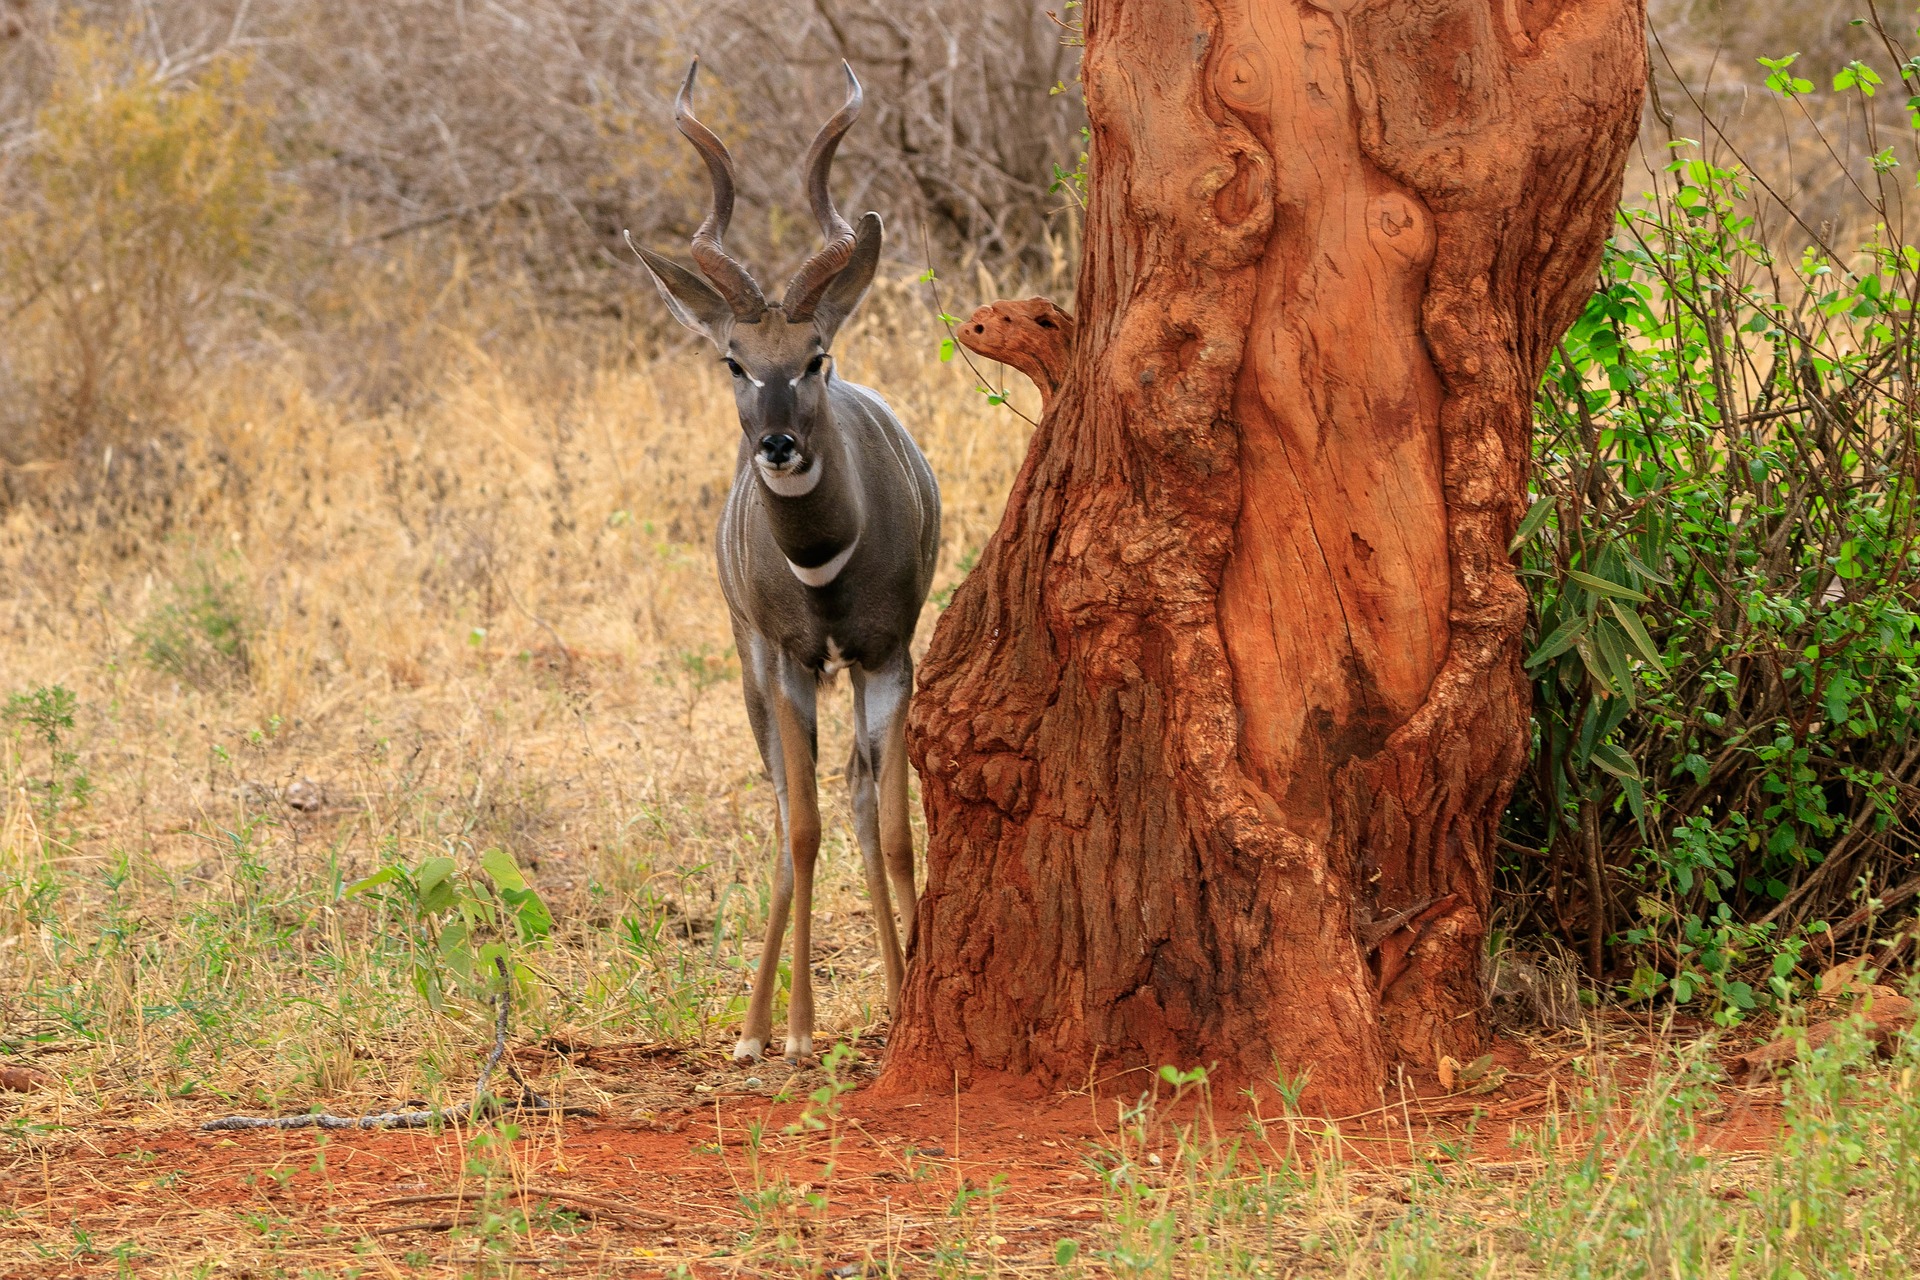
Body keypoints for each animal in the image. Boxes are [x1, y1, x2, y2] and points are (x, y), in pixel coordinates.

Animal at [633, 59, 940, 1059]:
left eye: (817, 355)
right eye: (734, 359)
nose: (776, 443)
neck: (824, 567)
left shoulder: (888, 654)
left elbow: (892, 827)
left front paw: (903, 995)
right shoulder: (790, 658)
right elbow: (800, 828)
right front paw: (797, 1030)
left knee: (853, 794)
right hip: (749, 662)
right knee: (782, 810)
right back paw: (756, 1025)